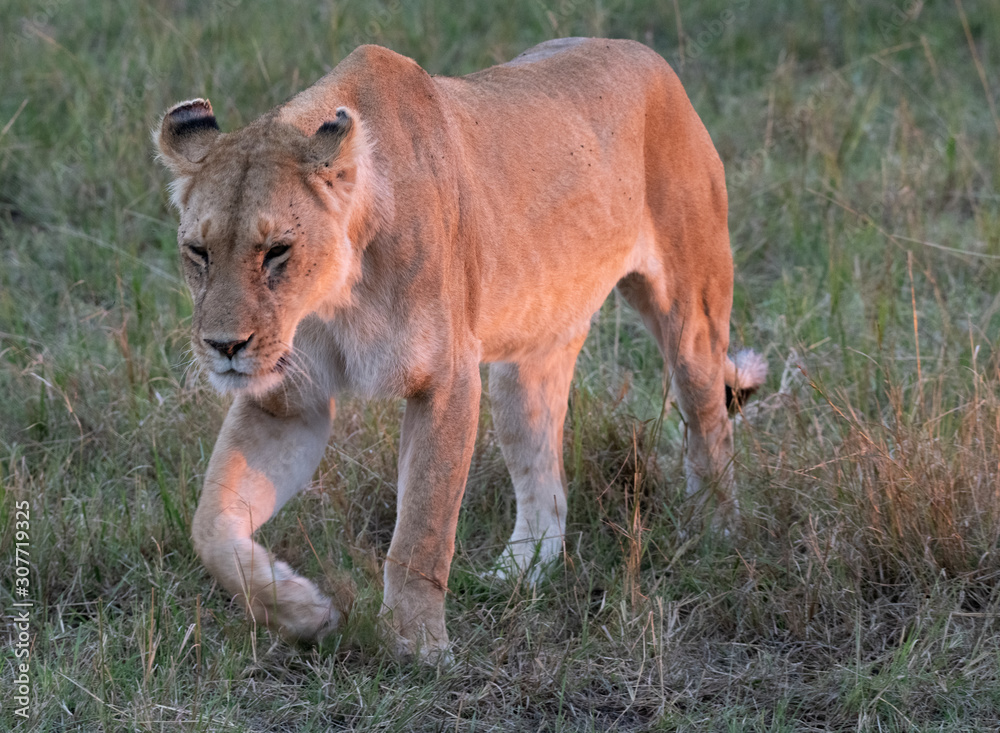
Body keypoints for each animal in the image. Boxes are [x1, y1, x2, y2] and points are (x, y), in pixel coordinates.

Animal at [154, 38, 766, 660]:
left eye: (277, 250)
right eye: (199, 252)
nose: (225, 346)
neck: (334, 296)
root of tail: (649, 56)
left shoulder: (446, 380)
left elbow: (422, 529)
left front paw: (417, 646)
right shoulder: (287, 403)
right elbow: (211, 527)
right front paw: (304, 612)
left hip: (691, 314)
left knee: (710, 425)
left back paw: (715, 537)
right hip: (528, 363)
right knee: (546, 487)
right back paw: (514, 577)